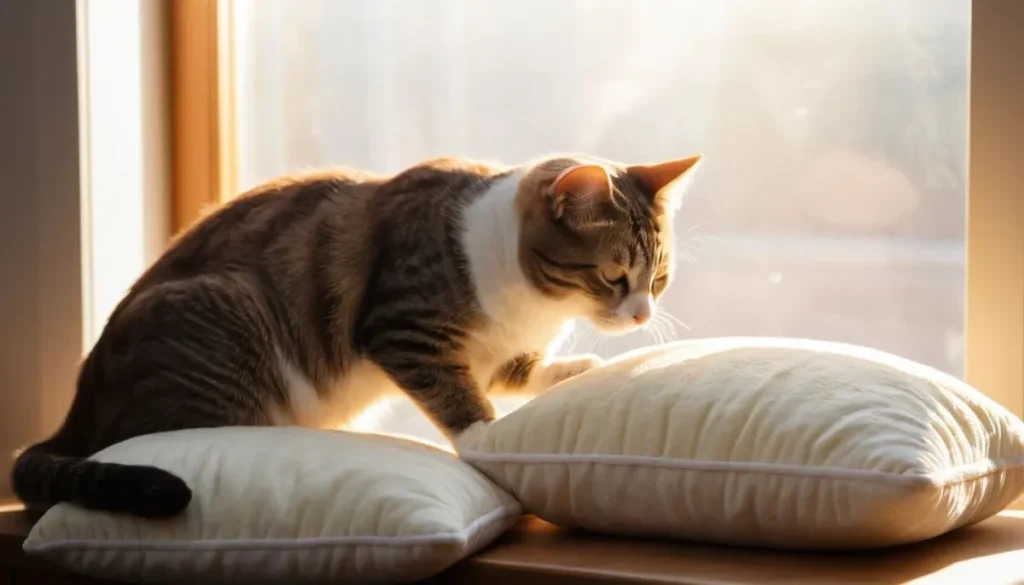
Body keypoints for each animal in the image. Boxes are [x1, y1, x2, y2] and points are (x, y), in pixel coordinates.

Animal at [9, 153, 704, 520]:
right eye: (613, 277)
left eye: (659, 278)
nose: (641, 317)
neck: (531, 304)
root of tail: (78, 406)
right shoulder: (402, 324)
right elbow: (458, 394)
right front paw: (484, 435)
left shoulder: (501, 351)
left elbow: (518, 373)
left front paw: (575, 367)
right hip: (225, 317)